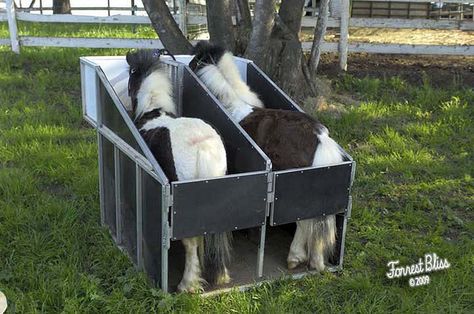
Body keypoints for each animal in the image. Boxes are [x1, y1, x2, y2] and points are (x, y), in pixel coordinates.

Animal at [191, 41, 342, 272]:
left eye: (192, 61)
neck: (234, 107)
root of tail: (320, 138)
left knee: (303, 222)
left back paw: (295, 257)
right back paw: (316, 262)